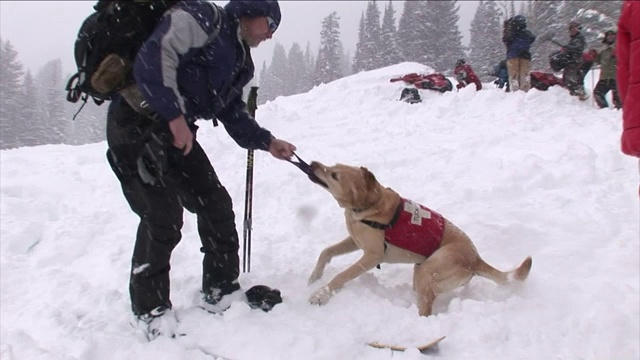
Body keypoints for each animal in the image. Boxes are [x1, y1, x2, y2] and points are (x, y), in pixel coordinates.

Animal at [308, 162, 532, 316]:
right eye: (332, 165)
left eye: (335, 175)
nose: (312, 163)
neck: (369, 206)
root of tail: (475, 259)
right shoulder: (354, 242)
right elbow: (326, 252)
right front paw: (314, 276)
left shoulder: (372, 257)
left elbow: (341, 276)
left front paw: (320, 294)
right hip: (421, 271)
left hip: (427, 270)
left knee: (426, 312)